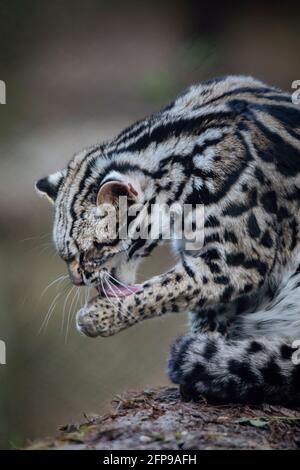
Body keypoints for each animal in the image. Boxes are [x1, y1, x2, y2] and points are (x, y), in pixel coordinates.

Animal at [37, 74, 300, 404]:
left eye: (92, 250)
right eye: (66, 255)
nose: (76, 279)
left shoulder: (239, 259)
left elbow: (164, 289)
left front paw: (99, 316)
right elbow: (202, 309)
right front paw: (205, 358)